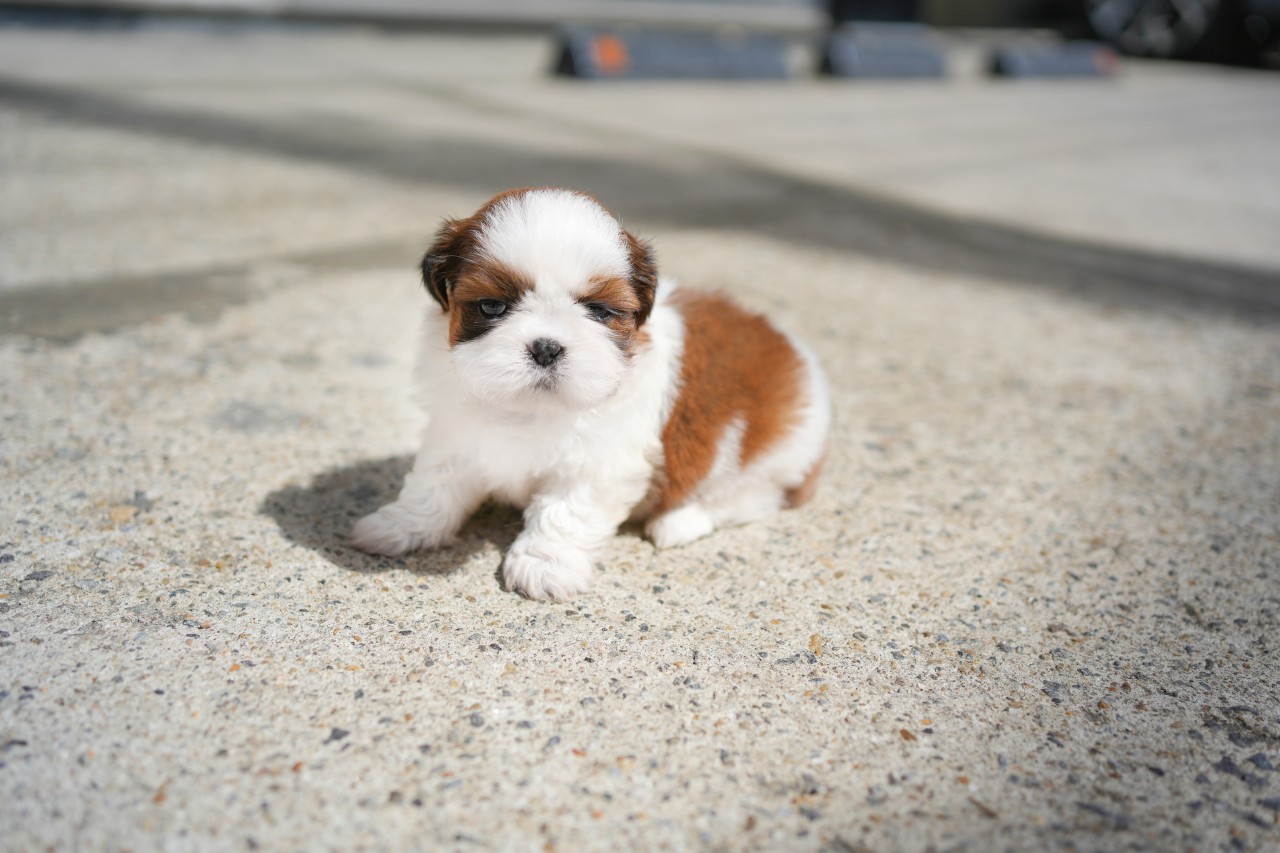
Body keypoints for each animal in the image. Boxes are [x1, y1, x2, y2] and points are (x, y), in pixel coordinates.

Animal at [350, 188, 830, 600]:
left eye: (599, 311)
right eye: (492, 306)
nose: (546, 346)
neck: (531, 407)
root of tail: (795, 353)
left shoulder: (601, 460)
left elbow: (566, 510)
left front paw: (544, 564)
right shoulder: (457, 430)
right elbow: (435, 483)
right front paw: (403, 526)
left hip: (774, 453)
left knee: (754, 496)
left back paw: (680, 521)